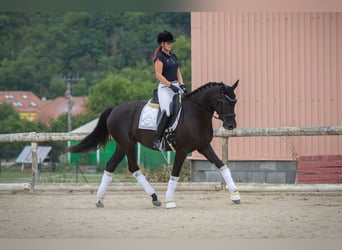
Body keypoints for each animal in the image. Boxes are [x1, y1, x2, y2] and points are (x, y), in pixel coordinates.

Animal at [69, 80, 240, 209]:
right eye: (224, 101)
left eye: (235, 101)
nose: (231, 125)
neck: (196, 113)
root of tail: (115, 109)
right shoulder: (182, 150)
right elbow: (175, 174)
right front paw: (170, 201)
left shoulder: (203, 147)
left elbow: (222, 166)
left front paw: (235, 195)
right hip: (128, 144)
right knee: (134, 168)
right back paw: (154, 197)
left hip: (122, 145)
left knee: (111, 165)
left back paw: (100, 200)